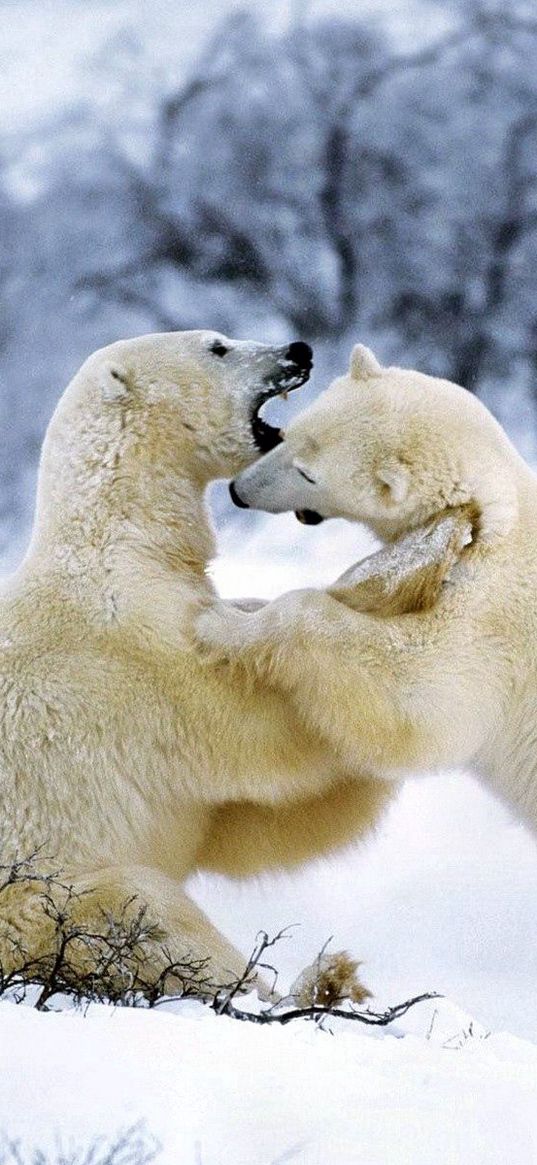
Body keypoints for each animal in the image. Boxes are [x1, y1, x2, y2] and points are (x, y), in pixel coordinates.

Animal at [196, 340, 535, 834]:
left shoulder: (488, 619)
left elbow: (417, 698)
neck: (488, 517)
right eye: (289, 433)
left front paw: (216, 624)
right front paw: (239, 604)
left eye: (308, 474)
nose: (239, 491)